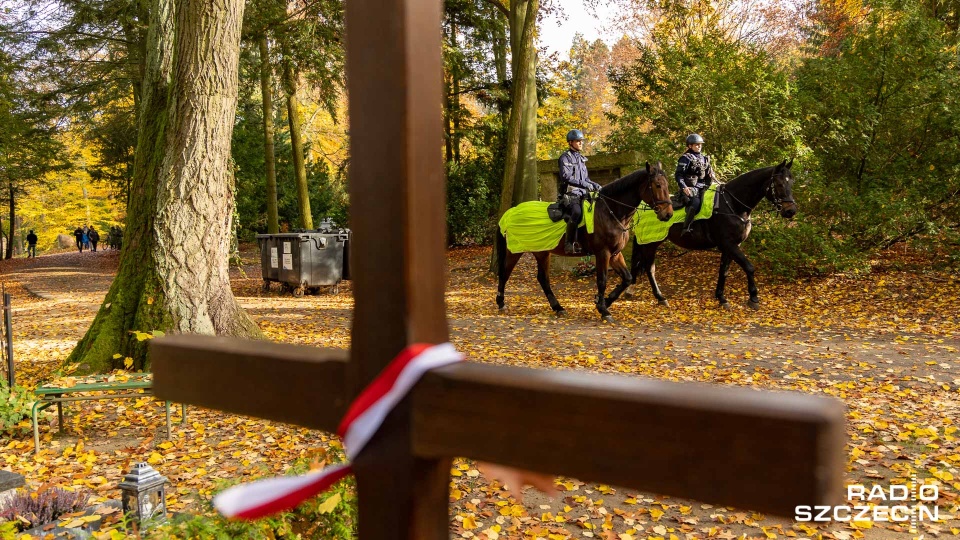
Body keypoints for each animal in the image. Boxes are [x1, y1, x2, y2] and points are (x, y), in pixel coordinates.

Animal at [496, 160, 676, 320]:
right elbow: (602, 280)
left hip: (543, 252)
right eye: (657, 185)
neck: (610, 212)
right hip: (515, 250)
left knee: (543, 279)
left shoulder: (615, 254)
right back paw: (501, 303)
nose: (668, 214)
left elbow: (627, 278)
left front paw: (604, 302)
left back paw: (558, 308)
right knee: (505, 273)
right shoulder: (603, 253)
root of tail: (511, 212)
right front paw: (604, 310)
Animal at [632, 158, 796, 310]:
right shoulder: (729, 244)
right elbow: (749, 267)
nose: (791, 211)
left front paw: (721, 297)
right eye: (779, 184)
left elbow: (723, 271)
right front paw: (753, 298)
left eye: (791, 183)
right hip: (650, 243)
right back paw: (660, 297)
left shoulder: (730, 246)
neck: (732, 205)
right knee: (650, 269)